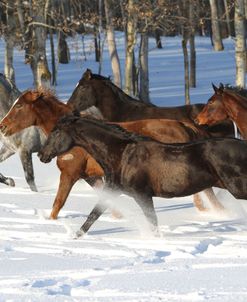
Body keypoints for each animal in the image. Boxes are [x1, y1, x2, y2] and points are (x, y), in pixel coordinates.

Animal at [0, 88, 224, 219]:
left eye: (19, 106)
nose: (3, 126)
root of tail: (185, 126)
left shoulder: (70, 174)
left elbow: (58, 204)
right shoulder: (91, 176)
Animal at [37, 114, 247, 237]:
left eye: (56, 132)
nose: (41, 155)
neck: (122, 155)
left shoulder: (142, 195)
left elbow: (152, 221)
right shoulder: (112, 190)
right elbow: (93, 215)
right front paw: (74, 236)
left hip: (236, 188)